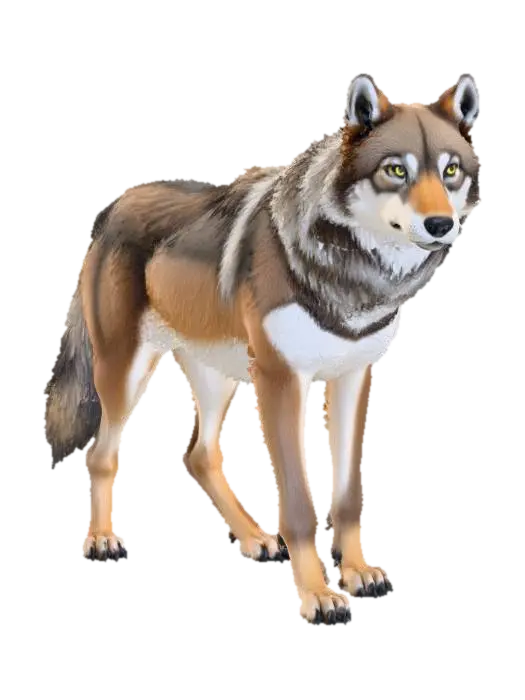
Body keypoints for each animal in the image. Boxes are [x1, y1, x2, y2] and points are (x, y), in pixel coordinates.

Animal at [43, 76, 483, 622]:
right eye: (395, 170)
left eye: (450, 170)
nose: (441, 225)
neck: (352, 277)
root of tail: (115, 206)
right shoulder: (281, 380)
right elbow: (298, 503)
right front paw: (318, 596)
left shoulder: (354, 377)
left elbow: (349, 494)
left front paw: (357, 571)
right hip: (129, 373)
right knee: (102, 453)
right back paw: (103, 539)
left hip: (220, 375)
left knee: (200, 453)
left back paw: (254, 539)